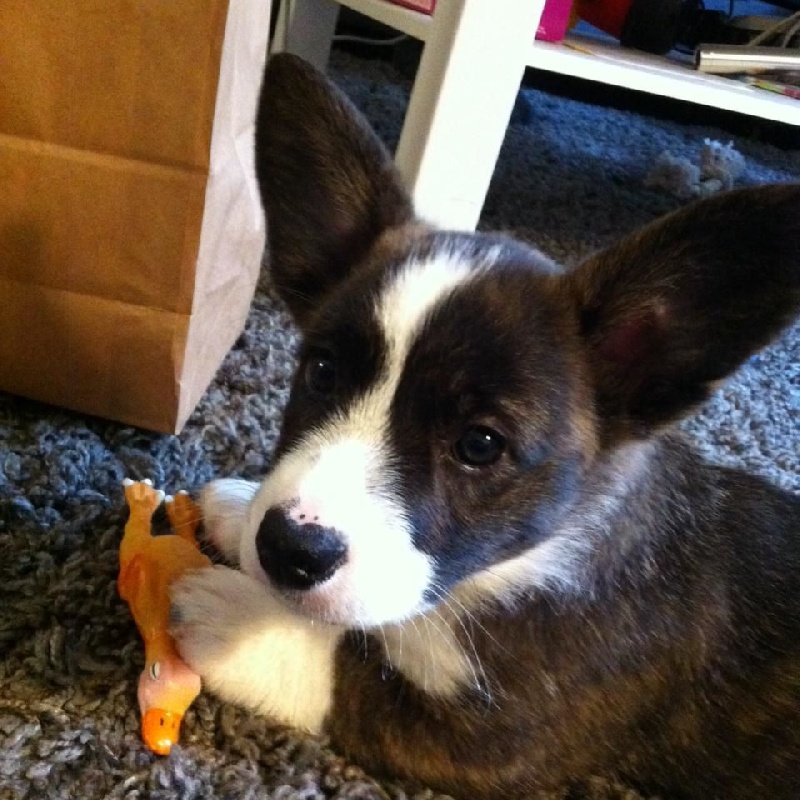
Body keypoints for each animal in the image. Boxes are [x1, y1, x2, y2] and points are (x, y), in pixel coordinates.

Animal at [171, 53, 800, 799]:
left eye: (480, 445)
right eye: (321, 373)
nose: (287, 549)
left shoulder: (497, 737)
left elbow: (345, 670)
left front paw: (233, 616)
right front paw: (237, 508)